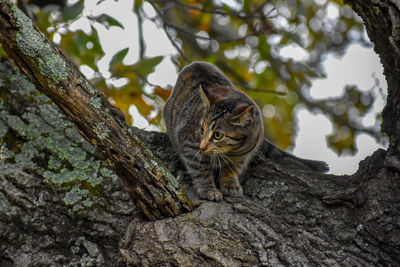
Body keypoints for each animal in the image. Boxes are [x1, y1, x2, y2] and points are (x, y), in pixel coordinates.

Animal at [162, 62, 262, 201]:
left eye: (218, 135)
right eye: (202, 130)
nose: (202, 147)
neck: (232, 150)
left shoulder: (243, 155)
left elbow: (232, 169)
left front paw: (230, 184)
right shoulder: (190, 144)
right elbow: (201, 170)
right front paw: (208, 189)